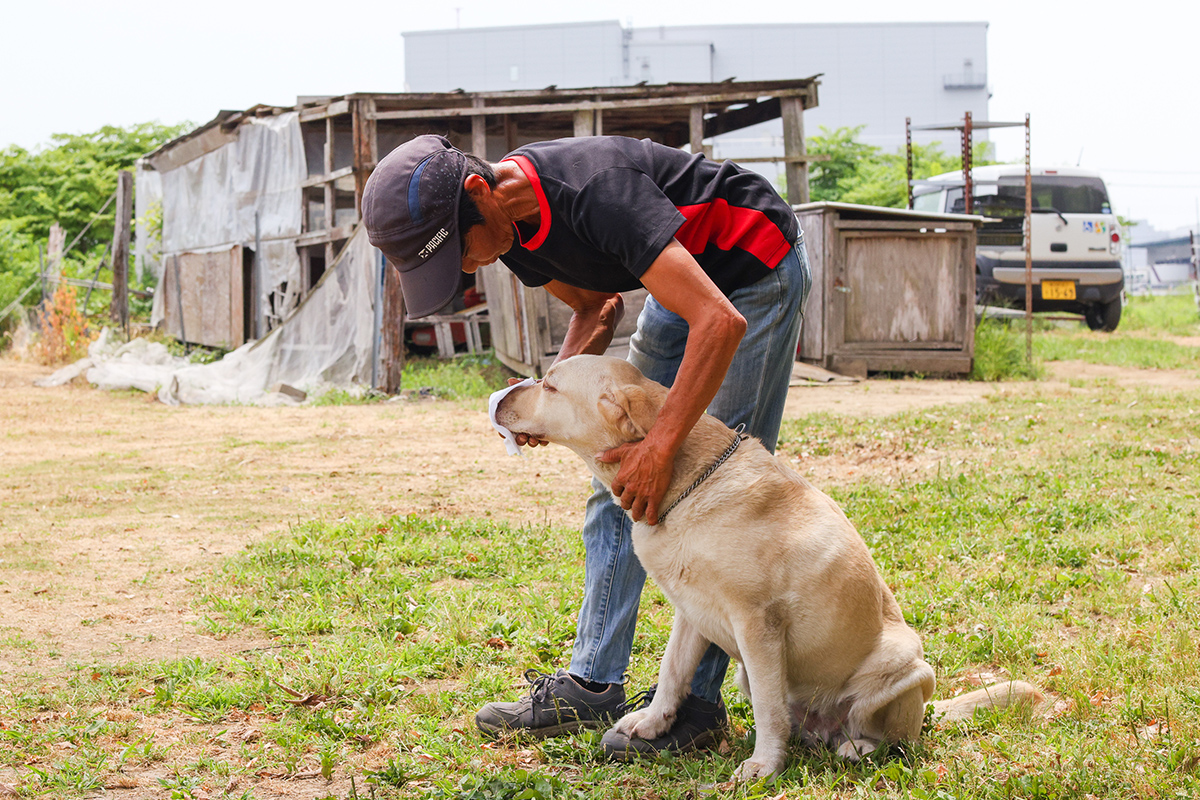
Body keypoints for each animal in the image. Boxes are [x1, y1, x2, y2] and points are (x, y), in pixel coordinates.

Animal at [496, 357, 1041, 782]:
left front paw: (763, 766)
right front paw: (651, 723)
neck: (688, 484)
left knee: (891, 737)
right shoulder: (692, 613)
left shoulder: (758, 623)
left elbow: (767, 708)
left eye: (550, 386)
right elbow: (673, 673)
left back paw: (857, 746)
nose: (499, 398)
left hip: (906, 666)